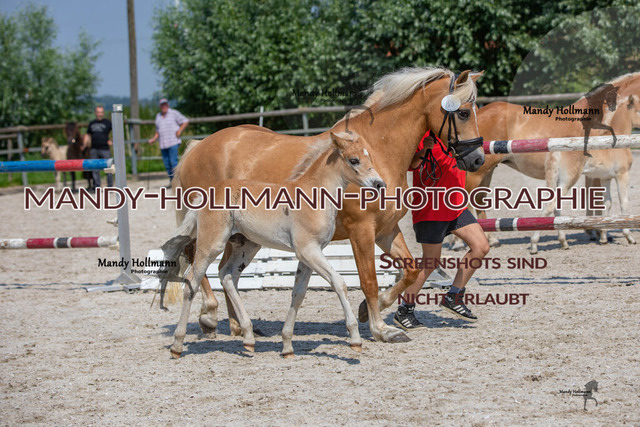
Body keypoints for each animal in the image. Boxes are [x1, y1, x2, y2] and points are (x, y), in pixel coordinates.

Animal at [159, 131, 386, 357]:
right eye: (354, 160)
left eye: (370, 157)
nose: (379, 184)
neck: (312, 194)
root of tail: (207, 193)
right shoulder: (308, 250)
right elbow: (339, 283)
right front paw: (355, 339)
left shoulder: (310, 254)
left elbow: (298, 293)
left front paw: (287, 346)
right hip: (211, 245)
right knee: (192, 282)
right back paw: (177, 345)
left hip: (247, 246)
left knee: (227, 275)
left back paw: (248, 338)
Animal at [170, 67, 485, 344]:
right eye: (463, 112)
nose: (478, 158)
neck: (378, 149)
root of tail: (197, 147)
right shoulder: (362, 232)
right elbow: (369, 280)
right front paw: (380, 329)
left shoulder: (386, 230)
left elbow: (410, 271)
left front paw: (369, 312)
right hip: (216, 231)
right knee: (197, 266)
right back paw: (209, 318)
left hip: (241, 237)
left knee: (226, 271)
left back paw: (239, 327)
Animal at [458, 72, 640, 253]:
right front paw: (599, 232)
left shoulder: (596, 173)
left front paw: (596, 231)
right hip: (478, 172)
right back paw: (459, 242)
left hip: (487, 171)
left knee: (478, 200)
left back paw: (491, 239)